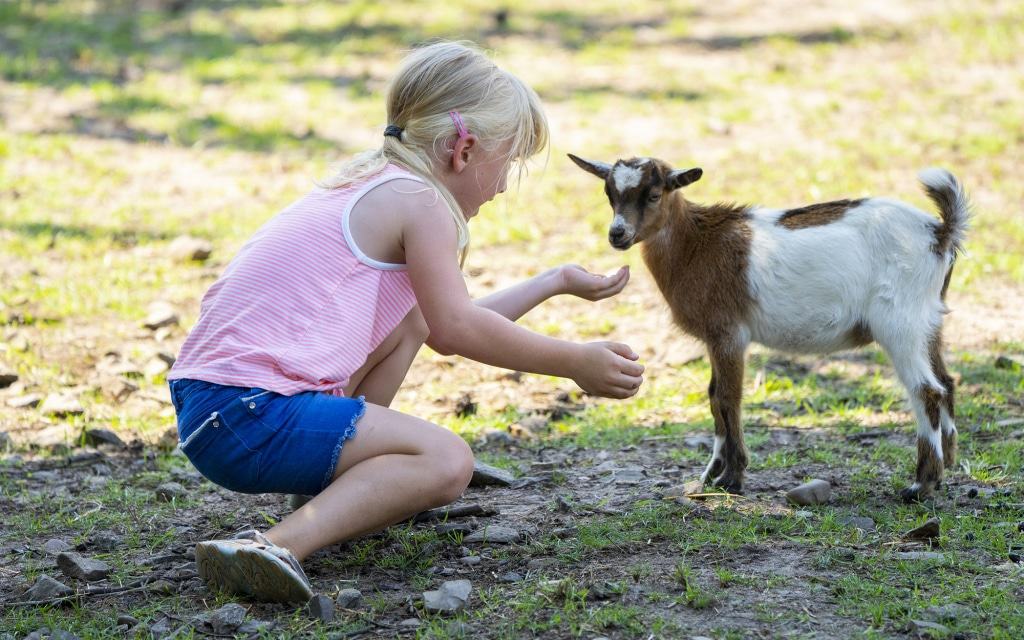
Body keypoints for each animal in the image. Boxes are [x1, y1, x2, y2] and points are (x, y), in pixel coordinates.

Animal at [569, 153, 970, 502]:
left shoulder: (729, 333)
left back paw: (921, 486)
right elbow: (713, 397)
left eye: (653, 195)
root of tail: (939, 234)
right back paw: (948, 466)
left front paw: (732, 479)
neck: (696, 244)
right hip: (928, 320)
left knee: (927, 391)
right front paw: (710, 475)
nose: (617, 234)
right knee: (947, 381)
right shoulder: (715, 337)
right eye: (609, 194)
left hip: (899, 322)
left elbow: (728, 398)